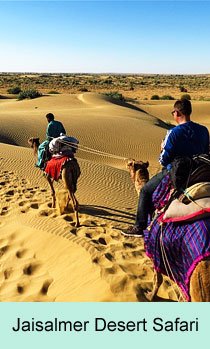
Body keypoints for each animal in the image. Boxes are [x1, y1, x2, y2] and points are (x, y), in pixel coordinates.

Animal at [126, 159, 210, 300]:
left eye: (130, 164)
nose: (126, 160)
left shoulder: (154, 247)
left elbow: (157, 278)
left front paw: (150, 296)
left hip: (198, 283)